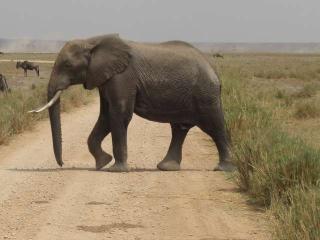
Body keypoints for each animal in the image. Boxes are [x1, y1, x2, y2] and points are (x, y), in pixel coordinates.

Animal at [30, 34, 234, 172]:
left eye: (67, 65)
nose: (62, 164)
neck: (93, 40)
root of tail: (214, 69)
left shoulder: (122, 77)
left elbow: (119, 115)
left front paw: (116, 170)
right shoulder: (106, 78)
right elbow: (106, 116)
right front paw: (103, 162)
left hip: (205, 94)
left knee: (214, 126)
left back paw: (223, 169)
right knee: (179, 129)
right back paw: (166, 167)